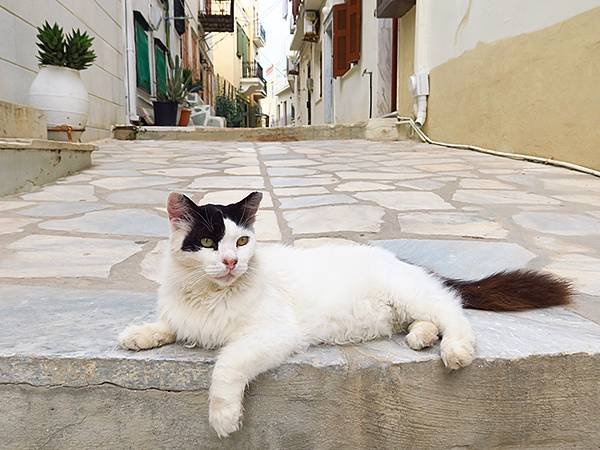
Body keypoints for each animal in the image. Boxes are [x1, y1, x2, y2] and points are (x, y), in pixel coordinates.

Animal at [118, 192, 572, 438]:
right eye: (210, 243)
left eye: (242, 242)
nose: (231, 262)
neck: (211, 295)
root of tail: (401, 260)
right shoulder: (186, 317)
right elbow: (168, 325)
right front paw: (138, 335)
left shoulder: (272, 335)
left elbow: (227, 365)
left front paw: (224, 416)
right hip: (405, 307)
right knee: (428, 321)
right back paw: (421, 338)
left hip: (415, 295)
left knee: (455, 314)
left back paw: (454, 350)